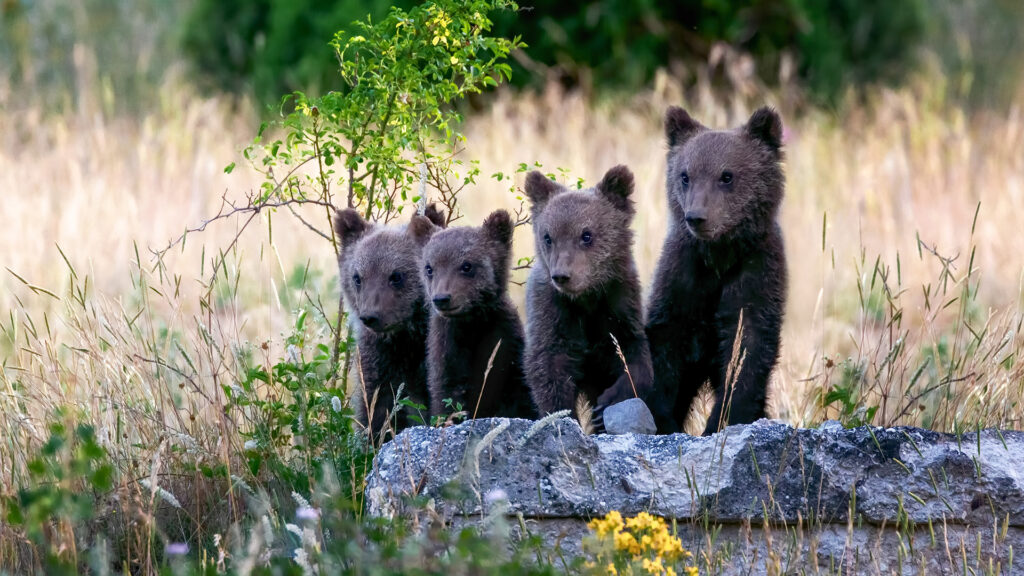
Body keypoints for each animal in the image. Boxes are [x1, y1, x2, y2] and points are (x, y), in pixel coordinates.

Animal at [412, 209, 535, 420]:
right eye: (429, 268)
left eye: (467, 265)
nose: (442, 298)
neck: (472, 324)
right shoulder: (448, 350)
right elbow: (448, 396)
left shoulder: (505, 342)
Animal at [523, 165, 654, 429]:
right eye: (548, 237)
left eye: (586, 235)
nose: (562, 275)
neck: (587, 297)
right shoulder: (552, 312)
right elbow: (548, 367)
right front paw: (563, 416)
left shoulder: (620, 303)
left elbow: (635, 358)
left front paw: (606, 403)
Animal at [645, 106, 788, 436]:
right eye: (685, 175)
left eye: (727, 176)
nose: (697, 217)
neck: (719, 256)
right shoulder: (683, 277)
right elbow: (665, 347)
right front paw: (663, 418)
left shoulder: (755, 273)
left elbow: (746, 350)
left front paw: (722, 420)